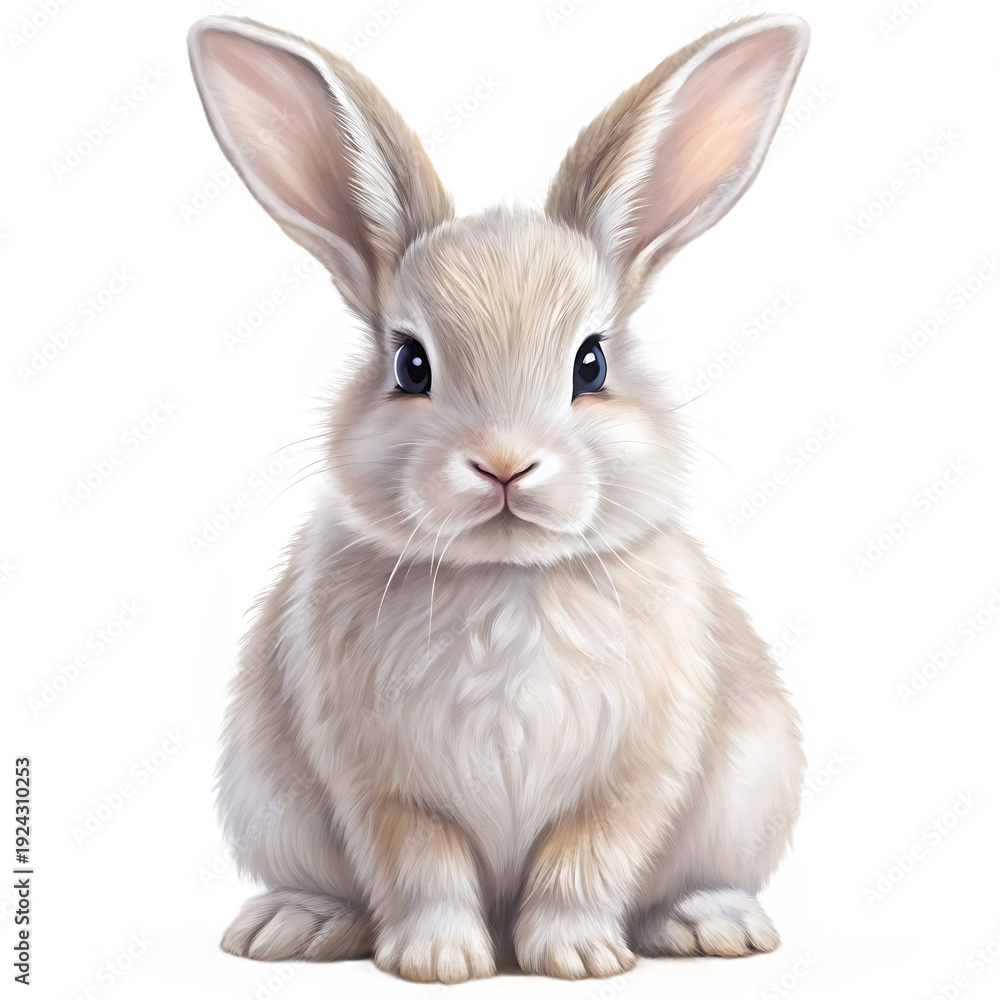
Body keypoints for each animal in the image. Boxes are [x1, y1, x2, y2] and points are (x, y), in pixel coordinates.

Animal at [188, 11, 809, 983]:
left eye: (591, 363)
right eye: (411, 364)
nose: (505, 465)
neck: (507, 576)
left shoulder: (634, 775)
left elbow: (585, 855)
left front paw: (576, 958)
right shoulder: (383, 784)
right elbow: (424, 861)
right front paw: (440, 961)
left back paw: (712, 925)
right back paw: (293, 926)